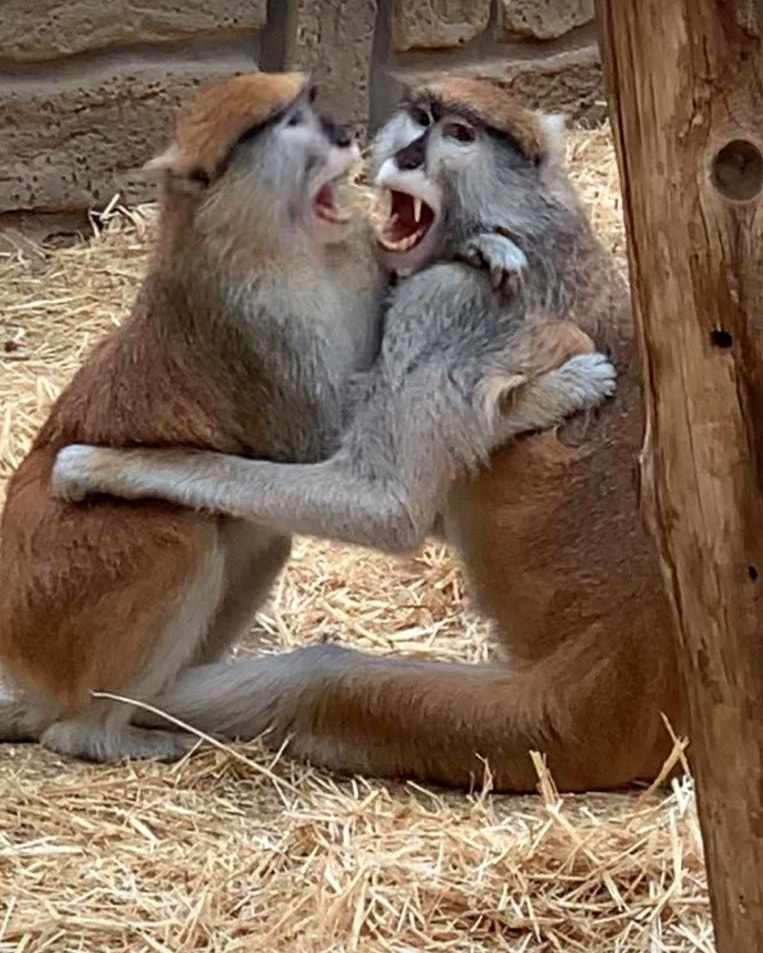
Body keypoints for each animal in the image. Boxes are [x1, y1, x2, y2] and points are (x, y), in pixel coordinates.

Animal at [38, 78, 655, 795]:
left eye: (459, 136)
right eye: (421, 118)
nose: (409, 154)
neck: (540, 232)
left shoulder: (443, 302)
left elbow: (384, 505)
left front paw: (103, 465)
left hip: (536, 728)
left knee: (316, 678)